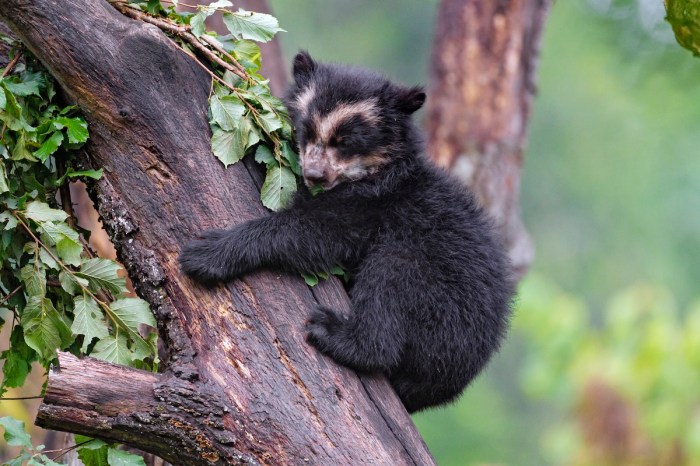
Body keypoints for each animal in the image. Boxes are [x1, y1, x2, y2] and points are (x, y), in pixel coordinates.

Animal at [179, 51, 515, 413]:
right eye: (307, 130)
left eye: (346, 142)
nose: (314, 174)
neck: (372, 172)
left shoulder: (371, 205)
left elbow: (311, 233)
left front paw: (207, 252)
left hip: (437, 299)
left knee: (390, 283)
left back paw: (334, 333)